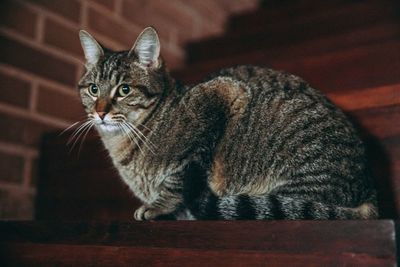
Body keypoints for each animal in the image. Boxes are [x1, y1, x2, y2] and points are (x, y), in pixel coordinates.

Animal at [77, 26, 378, 221]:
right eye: (93, 89)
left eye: (124, 90)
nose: (100, 113)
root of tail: (369, 188)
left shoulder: (221, 94)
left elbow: (177, 180)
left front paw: (159, 206)